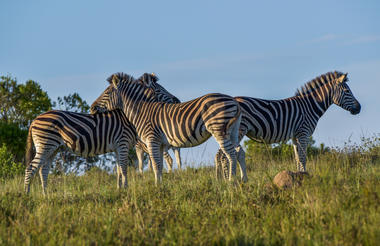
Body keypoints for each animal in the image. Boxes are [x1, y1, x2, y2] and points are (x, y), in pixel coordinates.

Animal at [90, 72, 243, 184]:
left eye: (107, 93)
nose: (92, 108)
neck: (142, 111)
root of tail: (233, 100)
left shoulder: (151, 141)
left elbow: (155, 165)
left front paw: (157, 186)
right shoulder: (160, 144)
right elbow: (160, 165)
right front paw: (161, 185)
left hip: (219, 129)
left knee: (231, 154)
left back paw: (231, 181)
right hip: (233, 130)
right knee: (239, 151)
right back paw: (243, 179)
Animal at [215, 71, 360, 179]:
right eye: (347, 91)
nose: (359, 108)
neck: (310, 106)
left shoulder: (295, 136)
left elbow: (297, 158)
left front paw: (299, 175)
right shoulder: (303, 133)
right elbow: (303, 157)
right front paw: (305, 176)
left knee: (219, 155)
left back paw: (220, 182)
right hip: (238, 130)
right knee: (224, 155)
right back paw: (229, 181)